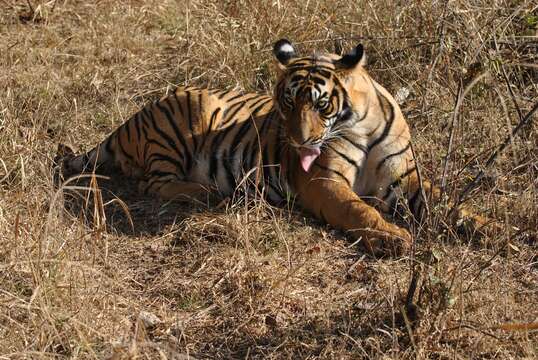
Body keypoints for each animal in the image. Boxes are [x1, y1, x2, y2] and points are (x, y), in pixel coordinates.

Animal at [55, 38, 498, 253]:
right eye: (286, 101)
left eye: (320, 104)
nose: (298, 142)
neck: (363, 124)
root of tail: (128, 122)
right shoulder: (321, 181)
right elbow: (357, 209)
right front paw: (392, 238)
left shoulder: (405, 181)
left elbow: (450, 206)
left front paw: (495, 230)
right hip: (185, 118)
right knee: (153, 184)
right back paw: (209, 194)